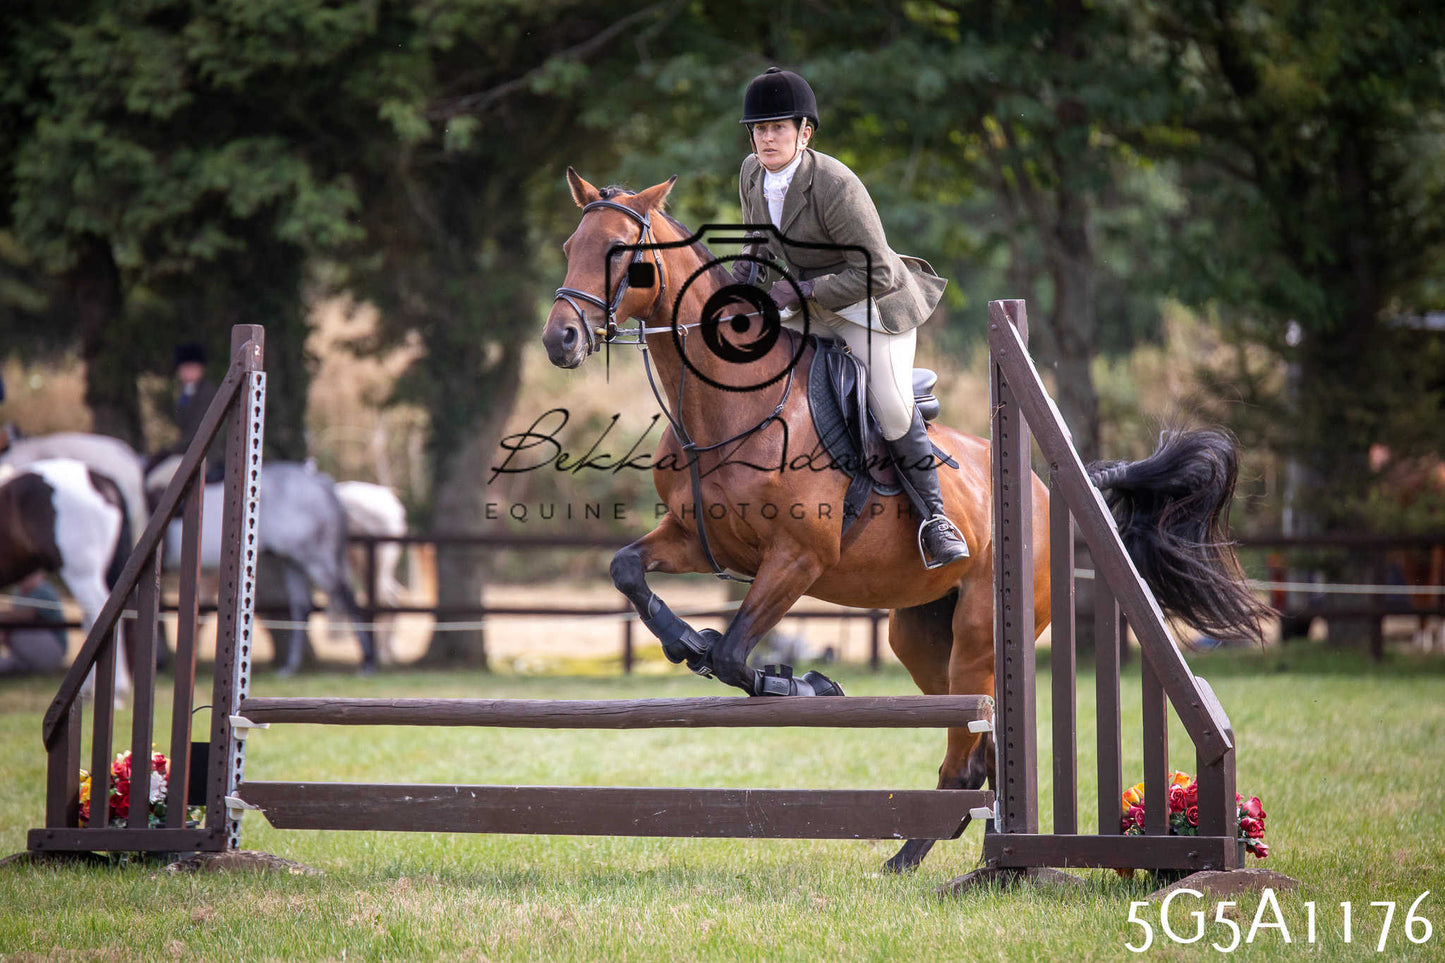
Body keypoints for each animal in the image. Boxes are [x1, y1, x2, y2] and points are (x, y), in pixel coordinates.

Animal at [147, 458, 377, 674]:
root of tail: (321, 483)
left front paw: (158, 660)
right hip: (292, 560)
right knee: (302, 604)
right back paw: (290, 666)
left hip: (315, 559)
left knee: (345, 598)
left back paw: (367, 662)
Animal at [542, 170, 1268, 872]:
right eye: (569, 247)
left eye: (623, 256)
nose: (559, 339)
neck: (731, 402)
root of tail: (1044, 487)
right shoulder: (701, 539)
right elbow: (629, 571)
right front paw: (684, 641)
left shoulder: (798, 557)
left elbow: (731, 653)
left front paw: (801, 682)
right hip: (921, 637)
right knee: (978, 746)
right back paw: (938, 851)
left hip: (980, 634)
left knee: (968, 748)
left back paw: (935, 855)